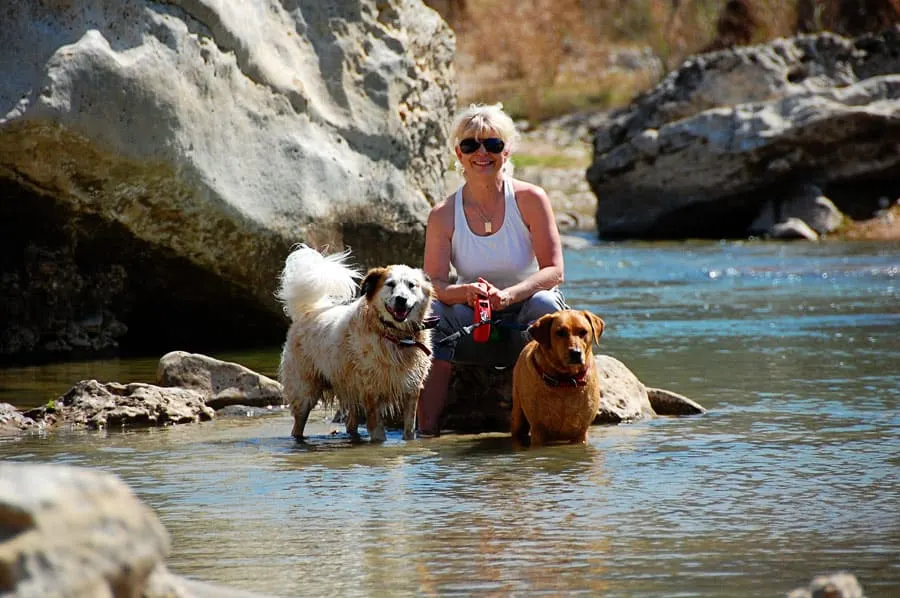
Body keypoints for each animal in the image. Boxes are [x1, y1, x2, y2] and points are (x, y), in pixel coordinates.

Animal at [278, 245, 436, 446]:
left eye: (411, 285)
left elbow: (409, 431)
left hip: (352, 392)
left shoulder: (411, 391)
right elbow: (378, 432)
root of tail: (309, 311)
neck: (396, 336)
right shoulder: (371, 393)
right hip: (304, 392)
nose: (401, 299)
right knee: (298, 425)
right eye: (390, 284)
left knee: (351, 424)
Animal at [512, 312, 604, 448]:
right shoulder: (538, 430)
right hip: (517, 414)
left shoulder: (581, 432)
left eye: (583, 332)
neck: (565, 380)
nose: (576, 353)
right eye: (560, 332)